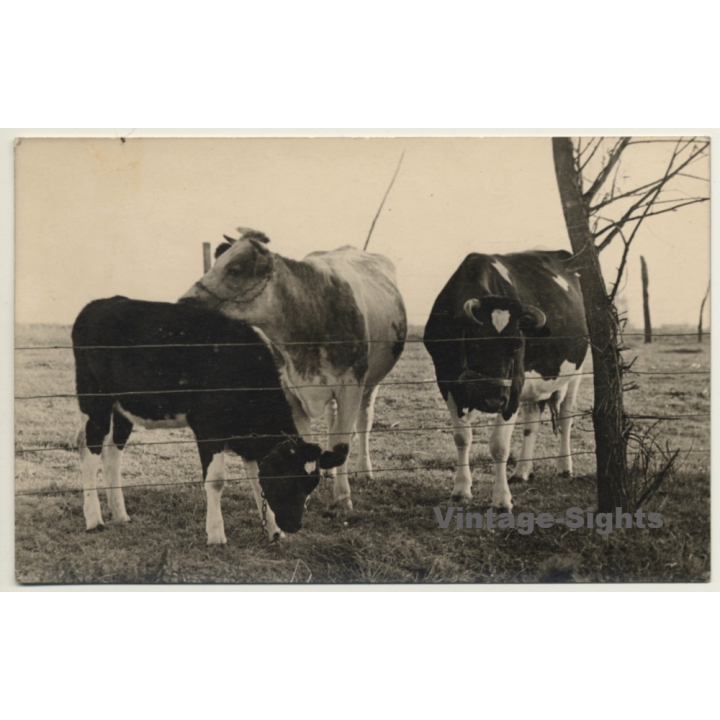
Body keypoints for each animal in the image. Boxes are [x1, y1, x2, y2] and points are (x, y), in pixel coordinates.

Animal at [72, 297, 346, 544]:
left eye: (311, 484)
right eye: (286, 479)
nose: (294, 525)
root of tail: (97, 304)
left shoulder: (249, 439)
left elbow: (256, 479)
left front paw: (272, 531)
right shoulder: (208, 428)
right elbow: (216, 481)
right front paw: (216, 535)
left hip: (123, 408)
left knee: (111, 452)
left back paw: (120, 514)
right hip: (94, 399)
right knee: (89, 451)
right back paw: (94, 519)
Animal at [180, 228, 407, 512]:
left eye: (235, 270)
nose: (183, 302)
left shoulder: (351, 387)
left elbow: (342, 442)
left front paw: (343, 499)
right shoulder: (290, 391)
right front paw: (304, 496)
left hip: (371, 383)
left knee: (363, 422)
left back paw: (364, 470)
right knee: (332, 423)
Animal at [423, 250, 589, 512]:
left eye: (517, 346)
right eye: (476, 343)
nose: (493, 401)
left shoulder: (514, 387)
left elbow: (500, 445)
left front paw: (501, 499)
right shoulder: (446, 381)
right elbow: (462, 437)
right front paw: (461, 490)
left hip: (576, 371)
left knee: (565, 415)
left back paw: (564, 467)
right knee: (532, 420)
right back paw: (521, 472)